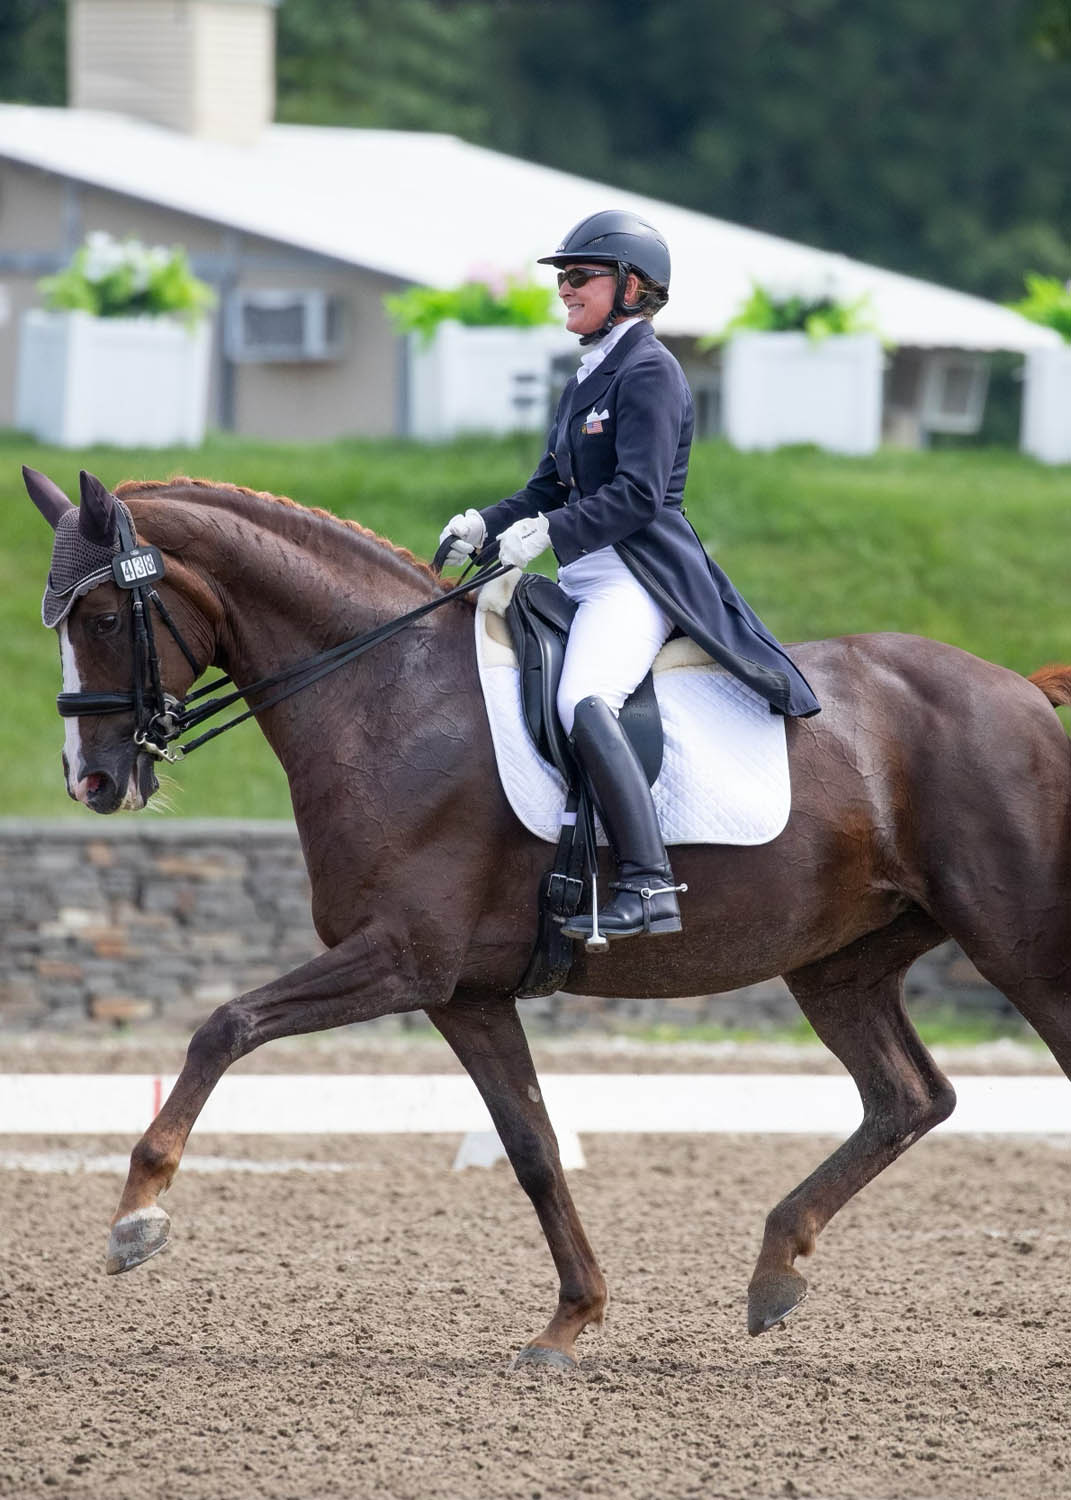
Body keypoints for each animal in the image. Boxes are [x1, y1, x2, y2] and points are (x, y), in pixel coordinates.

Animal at [20, 468, 1068, 1374]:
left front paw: (137, 1215)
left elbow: (223, 1025)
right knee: (907, 1097)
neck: (386, 693)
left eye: (104, 617)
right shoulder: (465, 992)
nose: (91, 782)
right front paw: (570, 1321)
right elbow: (531, 1147)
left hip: (1018, 944)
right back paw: (775, 1269)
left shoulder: (401, 957)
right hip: (838, 964)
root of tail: (1020, 689)